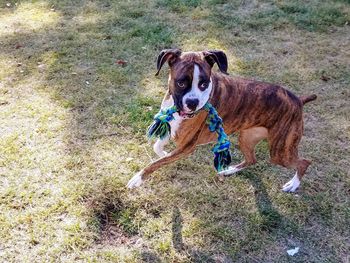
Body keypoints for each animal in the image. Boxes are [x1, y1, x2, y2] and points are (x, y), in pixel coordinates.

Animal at [126, 49, 318, 193]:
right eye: (181, 83)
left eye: (204, 84)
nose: (193, 103)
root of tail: (298, 100)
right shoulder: (173, 128)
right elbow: (157, 147)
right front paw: (164, 153)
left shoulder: (186, 146)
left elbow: (155, 163)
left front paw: (138, 178)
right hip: (247, 138)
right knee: (252, 159)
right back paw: (229, 170)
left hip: (281, 152)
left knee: (304, 162)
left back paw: (293, 185)